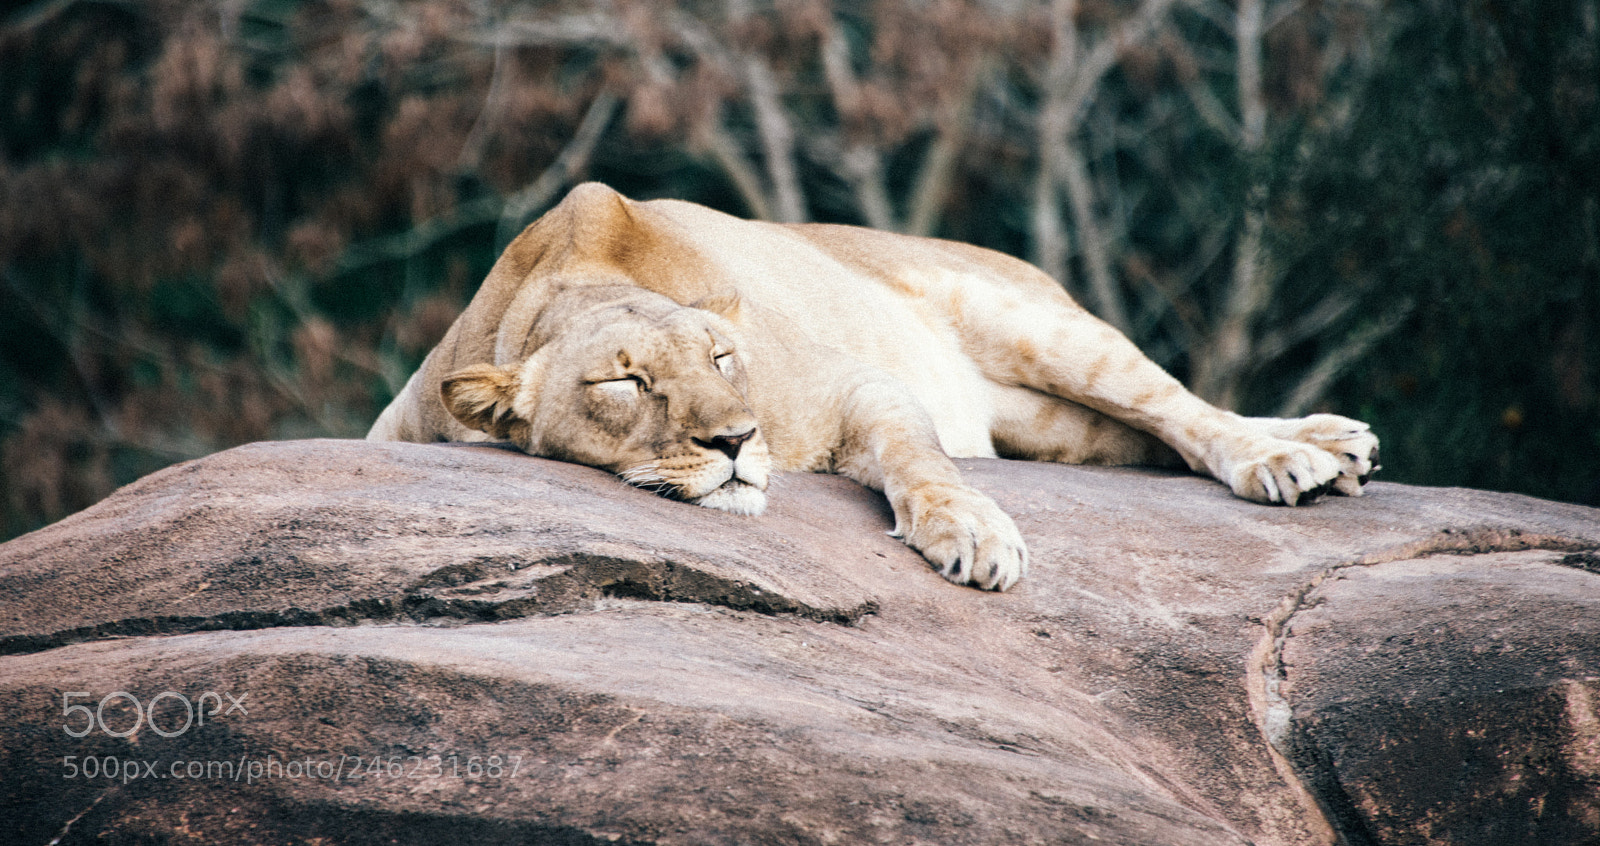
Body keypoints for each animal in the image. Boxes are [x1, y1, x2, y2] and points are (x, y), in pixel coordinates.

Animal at [369, 182, 1378, 591]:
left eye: (722, 358)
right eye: (626, 382)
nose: (735, 442)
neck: (568, 280)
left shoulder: (857, 387)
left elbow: (919, 460)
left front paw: (972, 533)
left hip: (1035, 322)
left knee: (1180, 410)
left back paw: (1294, 457)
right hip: (1049, 425)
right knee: (1144, 438)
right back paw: (1334, 448)